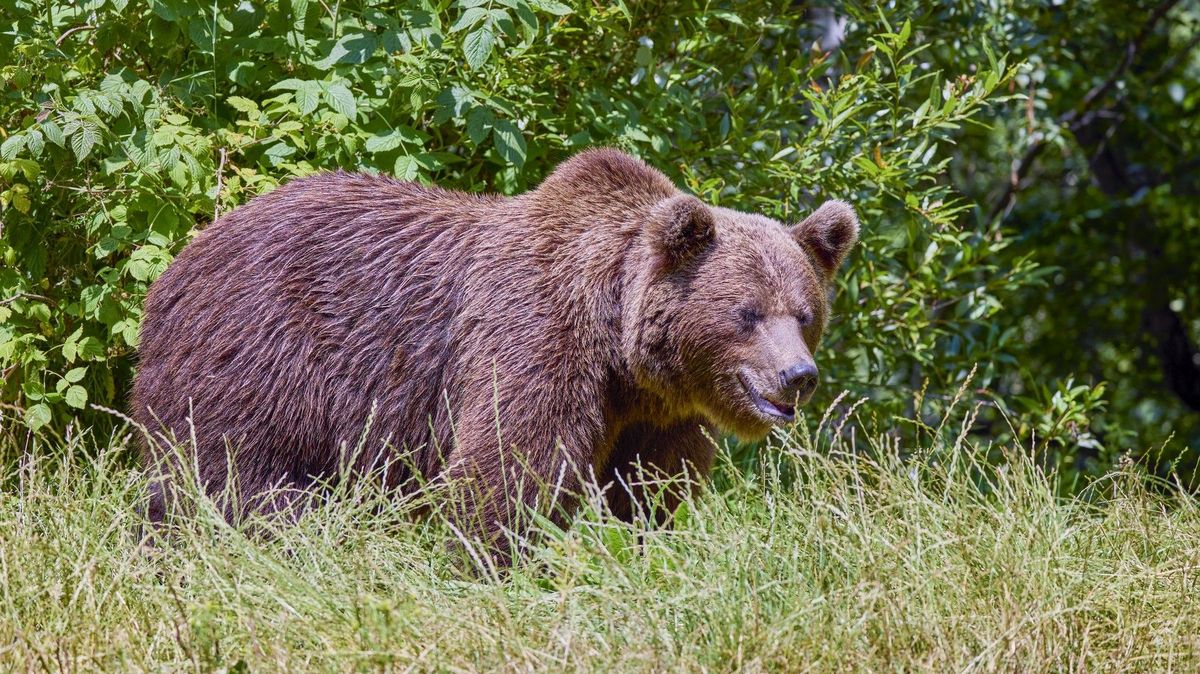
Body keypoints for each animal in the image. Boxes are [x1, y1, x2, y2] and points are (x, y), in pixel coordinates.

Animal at [136, 149, 859, 554]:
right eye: (747, 313)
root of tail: (177, 265)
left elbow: (648, 491)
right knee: (229, 481)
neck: (620, 351)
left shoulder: (660, 413)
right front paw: (491, 560)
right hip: (261, 357)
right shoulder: (533, 337)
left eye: (805, 313)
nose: (798, 375)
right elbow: (508, 470)